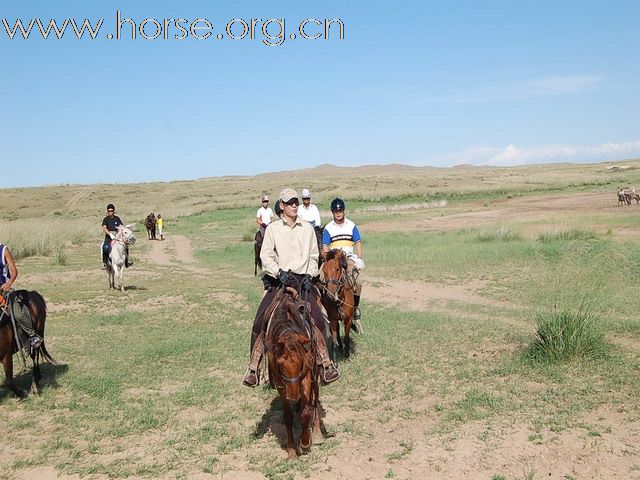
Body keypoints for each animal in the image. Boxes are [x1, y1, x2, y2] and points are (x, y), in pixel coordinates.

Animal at [264, 286, 320, 460]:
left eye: (301, 363)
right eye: (281, 365)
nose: (293, 397)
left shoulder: (306, 378)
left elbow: (305, 413)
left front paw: (305, 442)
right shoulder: (281, 384)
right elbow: (288, 417)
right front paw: (292, 450)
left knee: (315, 399)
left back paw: (317, 432)